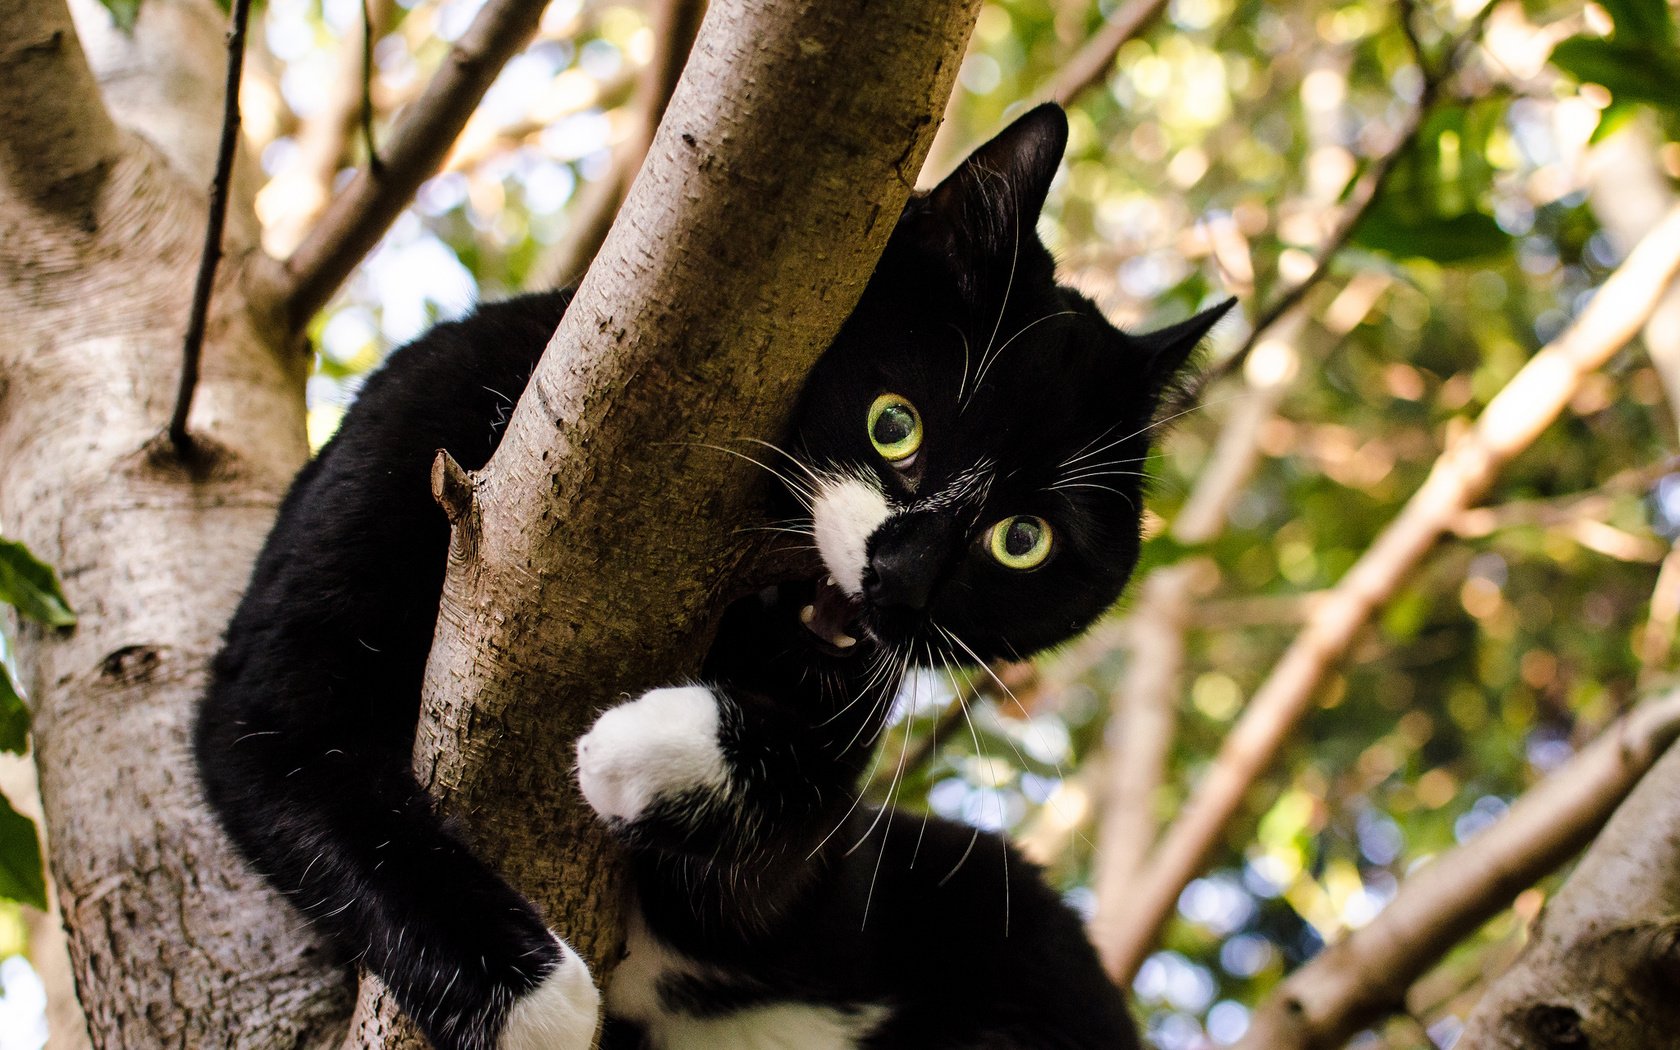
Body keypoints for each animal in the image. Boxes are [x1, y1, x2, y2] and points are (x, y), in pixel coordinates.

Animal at [193, 108, 1236, 1048]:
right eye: (893, 423)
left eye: (1024, 541)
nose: (902, 579)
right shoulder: (415, 430)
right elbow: (296, 747)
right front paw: (533, 1004)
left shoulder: (816, 887)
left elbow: (805, 811)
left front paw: (641, 748)